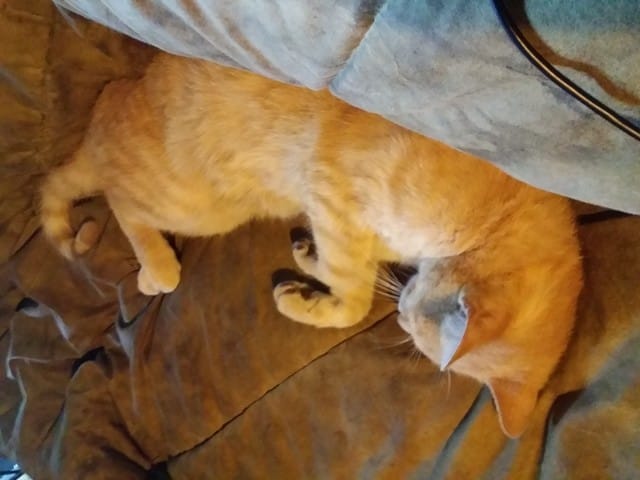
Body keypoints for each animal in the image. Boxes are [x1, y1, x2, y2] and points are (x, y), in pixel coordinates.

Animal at [40, 52, 583, 438]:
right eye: (412, 328)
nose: (400, 318)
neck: (493, 220)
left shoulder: (344, 223)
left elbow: (343, 270)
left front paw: (307, 264)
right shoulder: (335, 189)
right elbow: (354, 298)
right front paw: (303, 299)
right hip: (190, 205)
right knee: (120, 199)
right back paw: (155, 269)